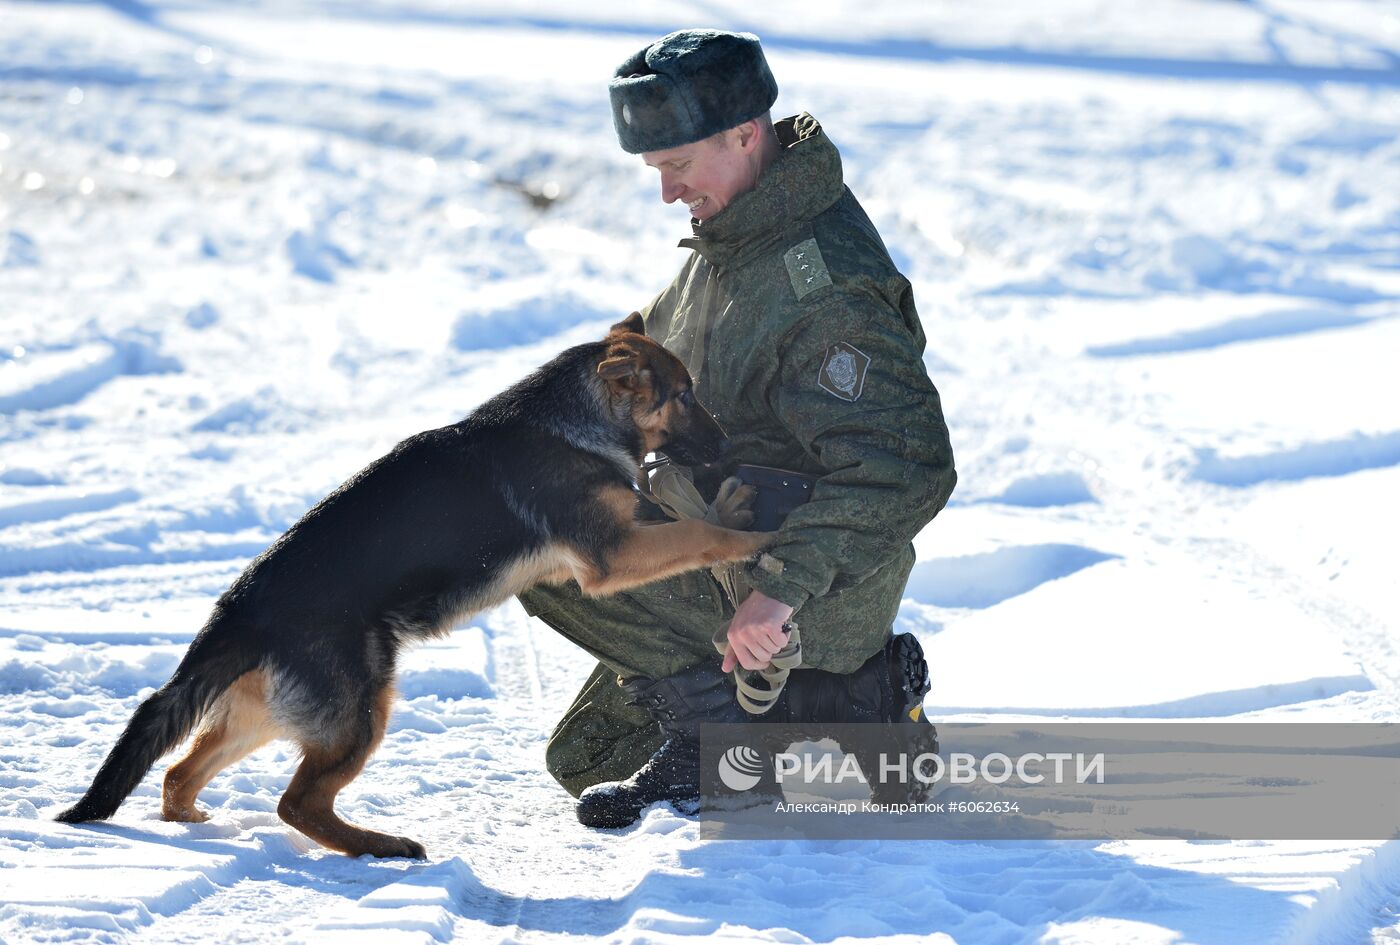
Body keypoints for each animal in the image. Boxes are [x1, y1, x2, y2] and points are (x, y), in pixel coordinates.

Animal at [54, 313, 772, 862]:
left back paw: (197, 825)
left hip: (266, 715)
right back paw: (381, 845)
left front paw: (733, 509)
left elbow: (687, 520)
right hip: (360, 712)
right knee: (296, 802)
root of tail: (239, 610)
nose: (726, 445)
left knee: (180, 772)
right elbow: (694, 533)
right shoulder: (612, 554)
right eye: (683, 396)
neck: (571, 420)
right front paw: (751, 538)